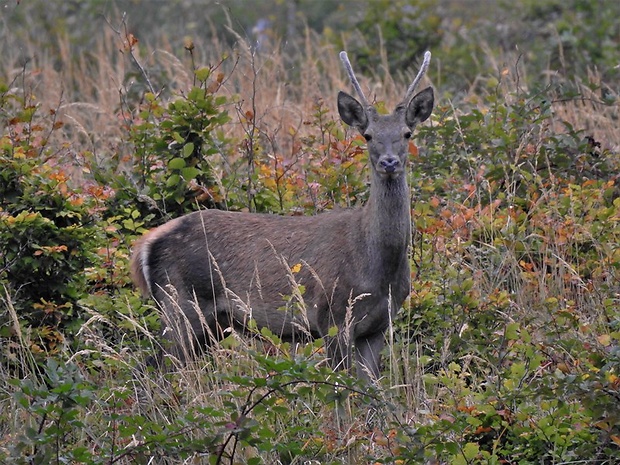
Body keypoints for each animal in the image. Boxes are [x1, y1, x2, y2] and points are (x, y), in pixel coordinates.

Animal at [129, 49, 434, 380]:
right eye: (367, 135)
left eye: (407, 133)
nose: (389, 162)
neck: (375, 264)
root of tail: (146, 244)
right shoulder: (332, 316)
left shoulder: (378, 327)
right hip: (179, 304)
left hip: (211, 322)